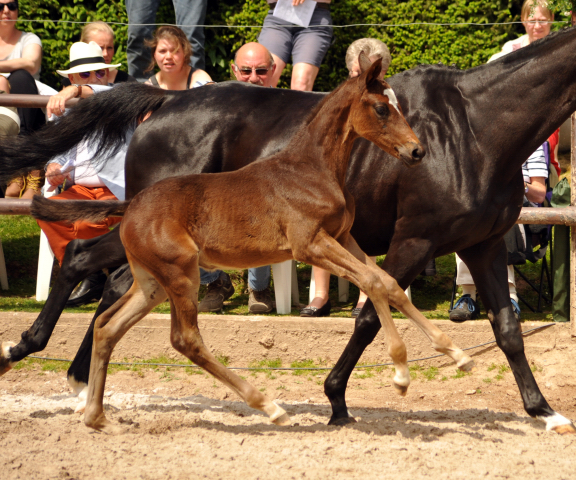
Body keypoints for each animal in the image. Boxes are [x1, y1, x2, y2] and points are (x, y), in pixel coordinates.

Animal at [32, 58, 472, 434]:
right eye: (382, 108)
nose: (416, 151)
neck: (311, 167)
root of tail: (131, 205)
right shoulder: (310, 245)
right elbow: (374, 282)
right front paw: (401, 373)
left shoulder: (343, 237)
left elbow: (387, 283)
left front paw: (457, 354)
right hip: (181, 274)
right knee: (184, 339)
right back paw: (270, 407)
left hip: (153, 284)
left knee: (108, 325)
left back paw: (97, 417)